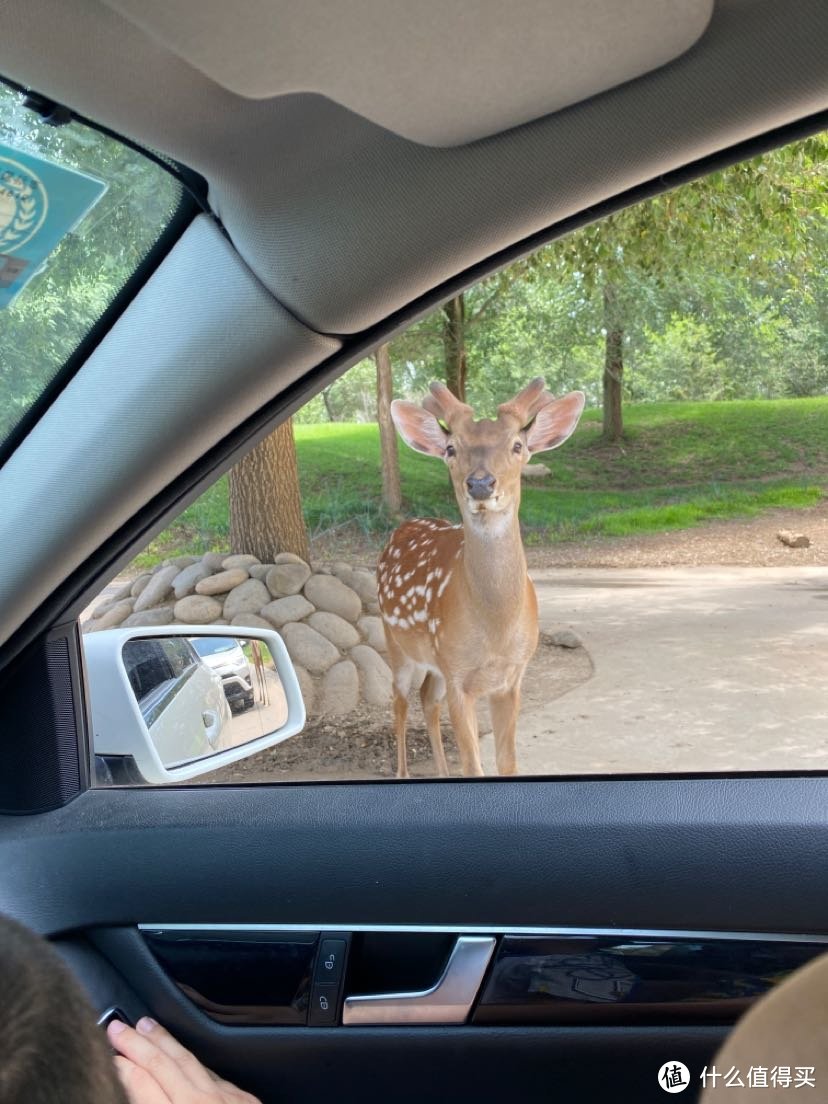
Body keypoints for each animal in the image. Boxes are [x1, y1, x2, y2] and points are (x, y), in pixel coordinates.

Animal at [379, 379, 587, 777]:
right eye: (451, 448)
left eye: (517, 445)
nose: (480, 483)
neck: (496, 629)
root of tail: (402, 528)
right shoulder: (459, 675)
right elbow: (473, 765)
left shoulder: (511, 677)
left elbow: (507, 763)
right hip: (396, 642)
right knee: (399, 702)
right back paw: (402, 772)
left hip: (435, 662)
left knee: (427, 698)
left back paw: (441, 772)